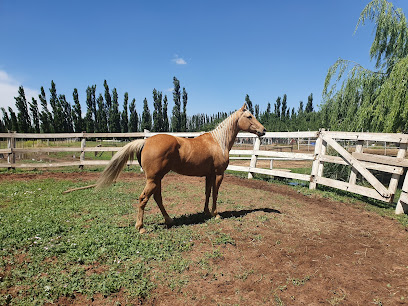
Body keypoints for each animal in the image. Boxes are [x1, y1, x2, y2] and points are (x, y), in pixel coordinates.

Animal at [97, 104, 266, 233]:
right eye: (249, 116)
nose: (263, 130)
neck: (218, 142)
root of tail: (145, 142)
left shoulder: (209, 175)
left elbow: (207, 193)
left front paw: (206, 212)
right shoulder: (218, 174)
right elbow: (215, 194)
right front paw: (216, 214)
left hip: (157, 179)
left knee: (157, 198)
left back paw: (169, 220)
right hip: (153, 179)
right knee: (143, 198)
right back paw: (141, 227)